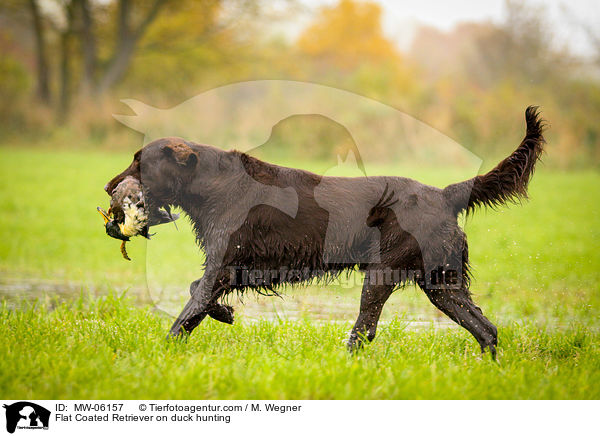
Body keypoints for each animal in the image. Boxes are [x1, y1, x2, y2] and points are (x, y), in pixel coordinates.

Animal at [105, 106, 548, 358]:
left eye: (139, 162)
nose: (110, 188)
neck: (214, 185)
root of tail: (444, 194)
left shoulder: (224, 264)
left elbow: (188, 309)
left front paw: (164, 351)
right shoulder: (240, 266)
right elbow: (196, 292)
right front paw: (226, 313)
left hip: (383, 274)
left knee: (364, 329)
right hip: (441, 282)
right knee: (486, 329)